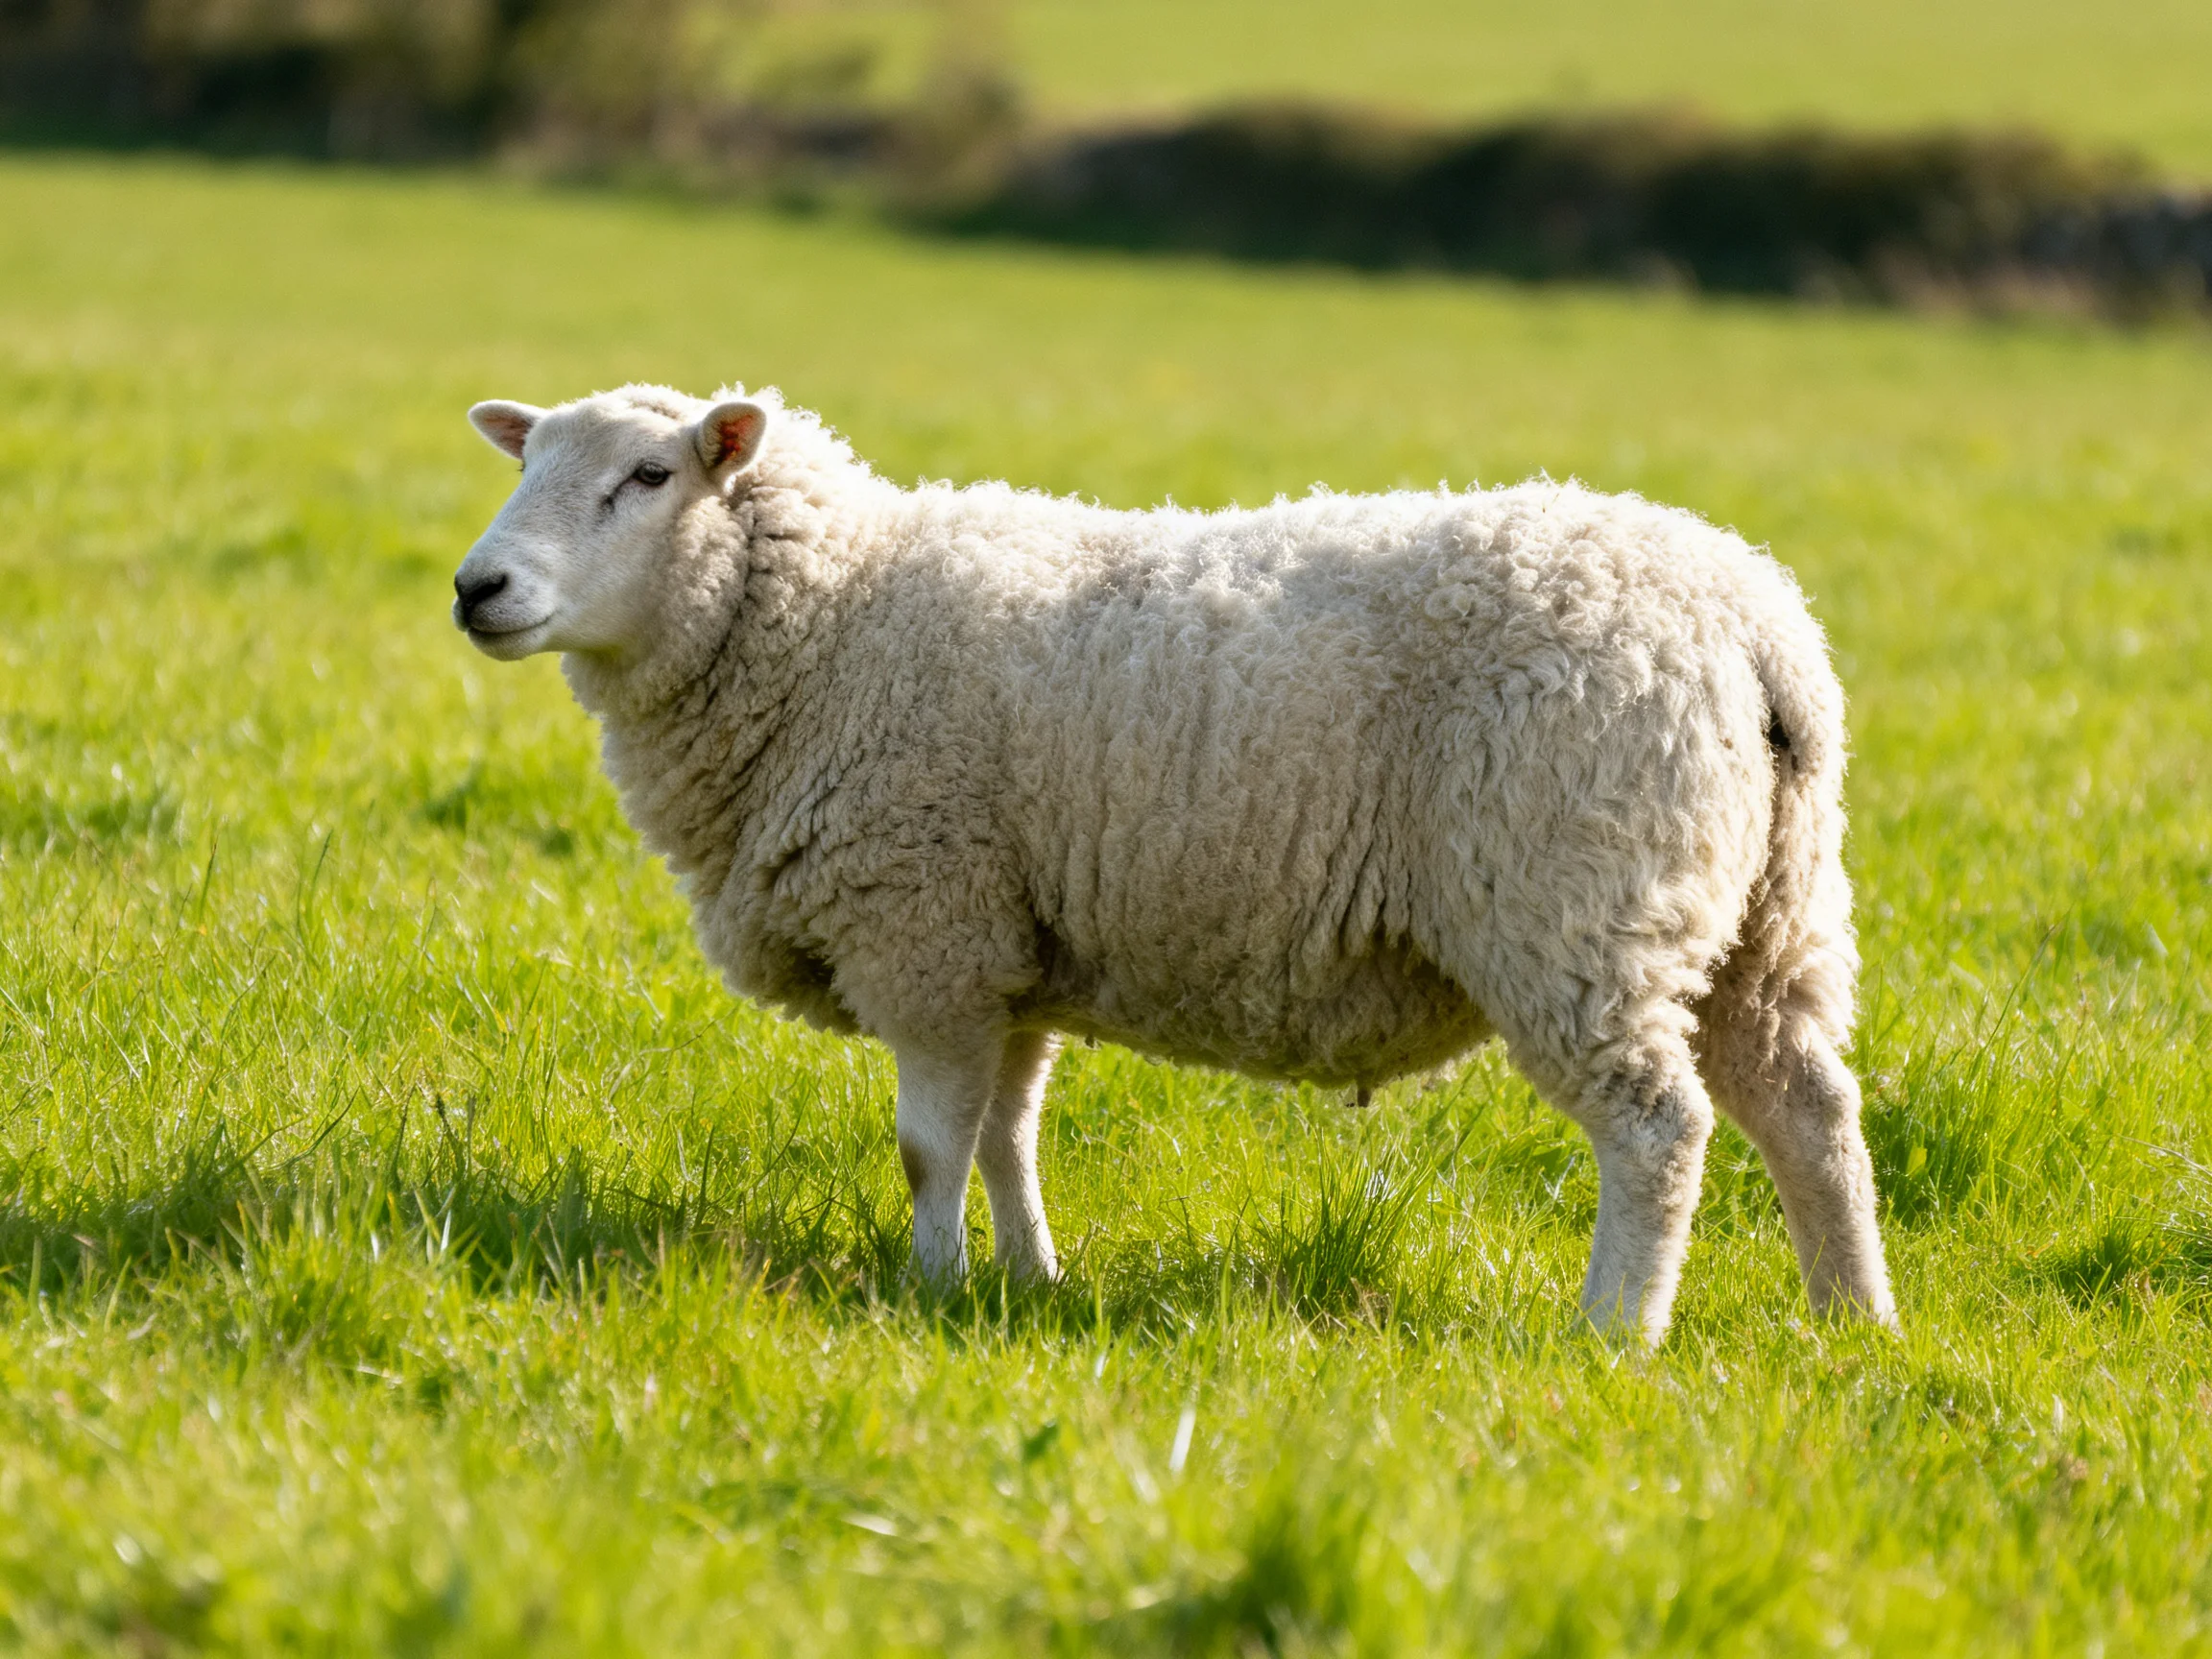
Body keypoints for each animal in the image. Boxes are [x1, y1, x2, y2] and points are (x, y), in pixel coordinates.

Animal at [450, 382, 1897, 1344]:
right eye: (531, 463)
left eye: (649, 478)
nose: (478, 588)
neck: (832, 622)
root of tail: (1760, 623)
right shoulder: (1009, 950)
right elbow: (1007, 1136)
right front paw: (1027, 1282)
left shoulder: (927, 934)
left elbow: (929, 1147)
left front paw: (932, 1288)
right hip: (1768, 915)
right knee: (1811, 1109)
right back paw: (1853, 1322)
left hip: (1580, 906)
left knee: (1659, 1129)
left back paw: (1616, 1334)